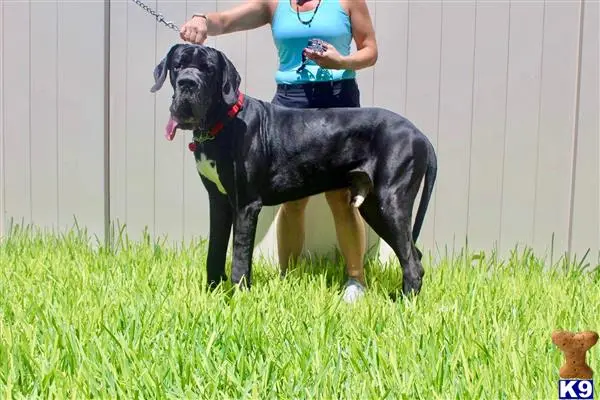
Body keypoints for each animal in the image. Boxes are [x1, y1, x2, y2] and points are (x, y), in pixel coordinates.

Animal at [152, 43, 438, 296]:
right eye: (178, 66)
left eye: (208, 69)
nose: (187, 84)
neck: (223, 121)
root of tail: (420, 135)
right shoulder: (219, 201)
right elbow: (215, 249)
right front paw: (212, 293)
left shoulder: (246, 205)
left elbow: (240, 255)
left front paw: (239, 296)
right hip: (373, 206)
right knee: (413, 255)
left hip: (390, 202)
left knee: (412, 263)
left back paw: (403, 303)